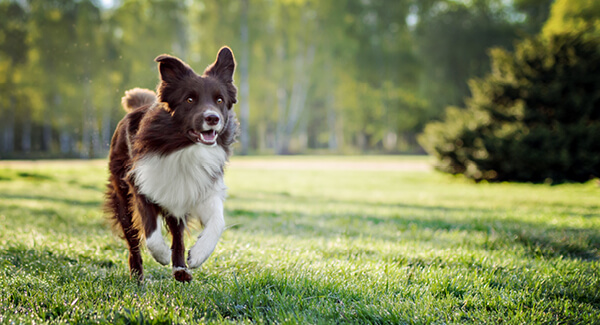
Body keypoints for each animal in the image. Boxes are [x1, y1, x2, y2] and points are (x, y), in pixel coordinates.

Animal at [105, 46, 239, 280]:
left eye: (220, 100)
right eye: (190, 100)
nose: (213, 118)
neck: (185, 148)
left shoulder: (202, 188)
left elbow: (218, 222)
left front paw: (198, 255)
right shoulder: (142, 183)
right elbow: (150, 230)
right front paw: (160, 254)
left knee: (178, 235)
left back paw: (180, 269)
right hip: (122, 195)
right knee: (133, 239)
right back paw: (137, 275)